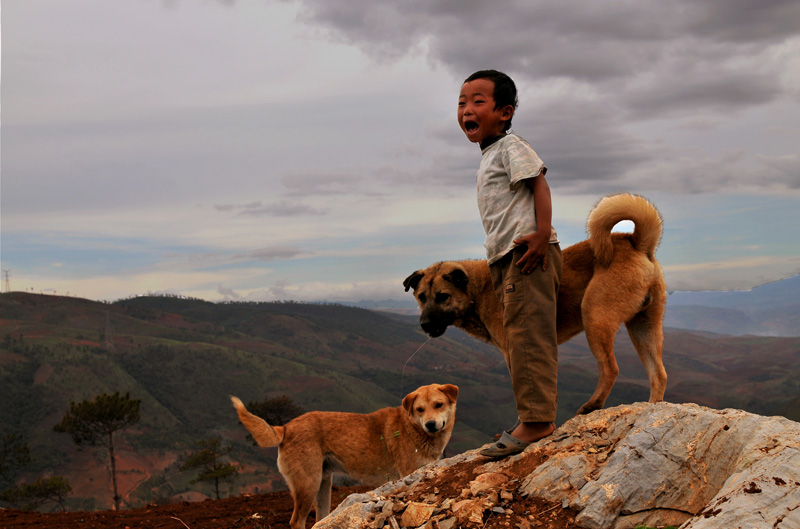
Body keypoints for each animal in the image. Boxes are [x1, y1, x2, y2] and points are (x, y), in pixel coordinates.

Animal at [228, 384, 460, 528]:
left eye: (438, 405)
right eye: (420, 409)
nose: (431, 424)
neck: (413, 429)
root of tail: (285, 428)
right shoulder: (407, 473)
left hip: (323, 484)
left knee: (320, 518)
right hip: (308, 484)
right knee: (296, 521)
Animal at [400, 192, 668, 414]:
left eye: (442, 296)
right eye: (421, 297)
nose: (424, 325)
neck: (477, 291)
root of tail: (636, 242)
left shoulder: (514, 351)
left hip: (595, 317)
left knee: (611, 368)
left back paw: (592, 405)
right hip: (643, 326)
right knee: (659, 374)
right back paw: (651, 408)